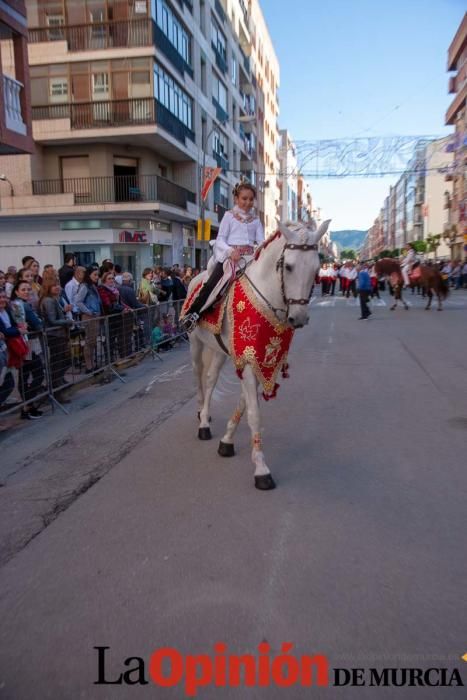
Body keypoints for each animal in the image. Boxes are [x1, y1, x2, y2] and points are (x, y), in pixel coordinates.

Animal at [188, 217, 330, 486]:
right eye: (289, 267)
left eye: (317, 270)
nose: (299, 318)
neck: (266, 297)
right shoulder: (248, 359)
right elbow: (254, 413)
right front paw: (262, 469)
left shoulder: (257, 358)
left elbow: (245, 403)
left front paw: (227, 441)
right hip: (195, 342)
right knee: (199, 376)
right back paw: (201, 420)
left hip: (219, 349)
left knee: (210, 380)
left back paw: (205, 418)